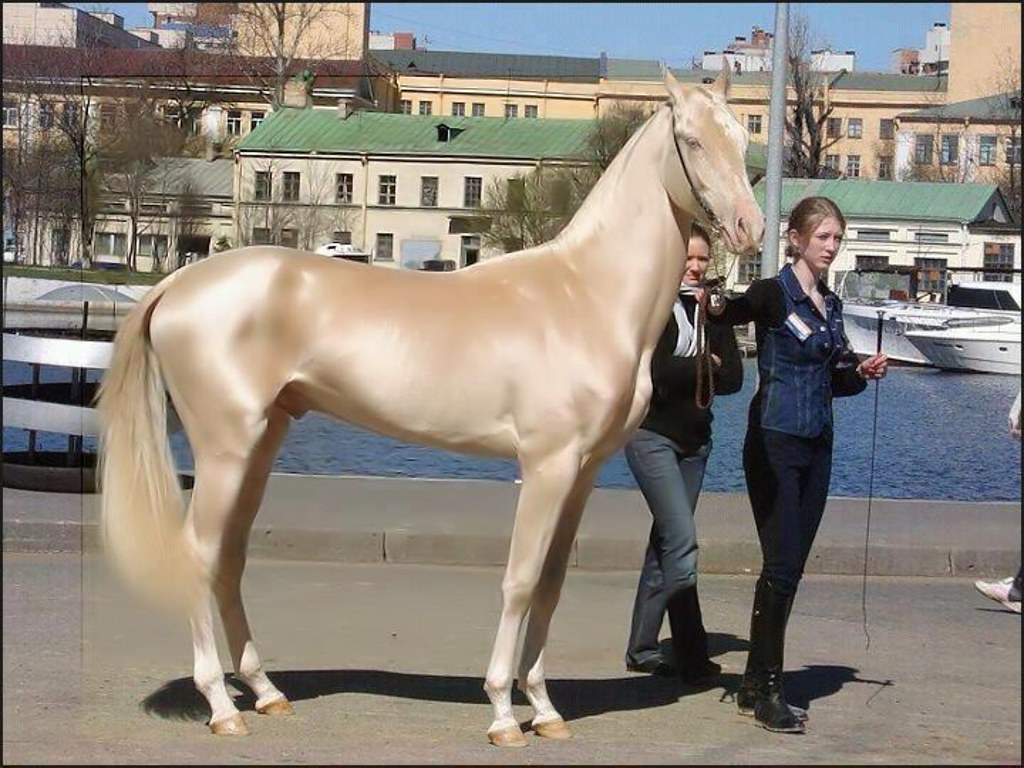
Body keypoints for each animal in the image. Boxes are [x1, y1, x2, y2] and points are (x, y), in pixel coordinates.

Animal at [99, 70, 765, 745]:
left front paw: (545, 709)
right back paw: (222, 706)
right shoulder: (547, 466)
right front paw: (503, 713)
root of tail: (176, 285)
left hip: (260, 445)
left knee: (229, 558)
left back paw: (265, 693)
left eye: (740, 139)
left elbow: (550, 585)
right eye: (692, 140)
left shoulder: (582, 474)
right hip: (225, 449)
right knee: (198, 555)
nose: (750, 227)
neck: (586, 294)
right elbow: (520, 581)